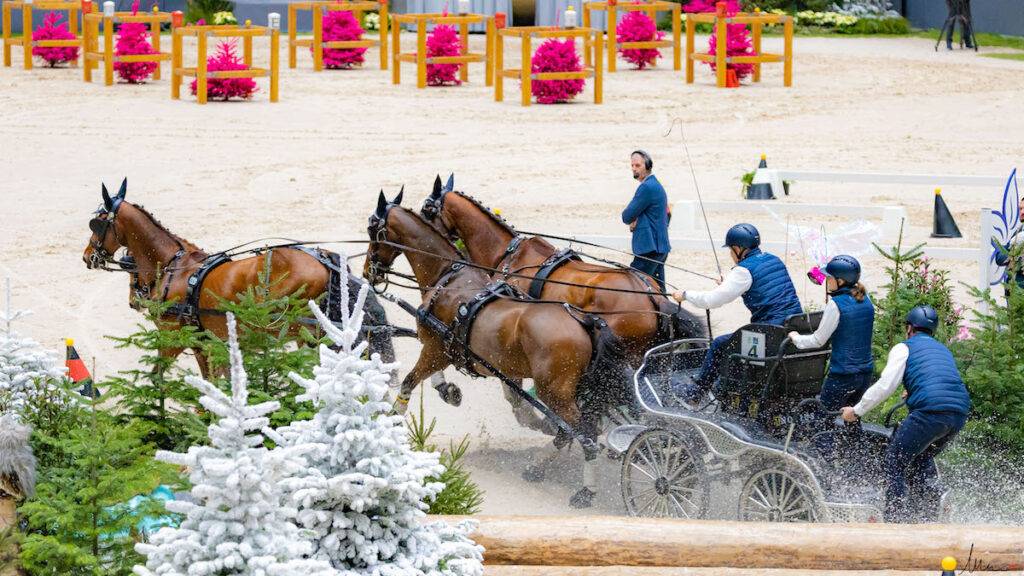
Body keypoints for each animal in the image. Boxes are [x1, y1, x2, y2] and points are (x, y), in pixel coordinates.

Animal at [81, 179, 397, 377]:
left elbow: (157, 377)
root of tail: (323, 257)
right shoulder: (205, 343)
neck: (176, 268)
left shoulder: (173, 338)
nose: (88, 256)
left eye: (97, 224)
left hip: (306, 331)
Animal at [363, 190, 632, 508]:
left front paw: (391, 422)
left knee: (584, 432)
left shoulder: (434, 349)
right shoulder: (443, 350)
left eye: (372, 230)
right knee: (576, 430)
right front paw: (449, 391)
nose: (368, 271)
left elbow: (407, 383)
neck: (448, 276)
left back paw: (585, 490)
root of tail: (585, 321)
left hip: (554, 393)